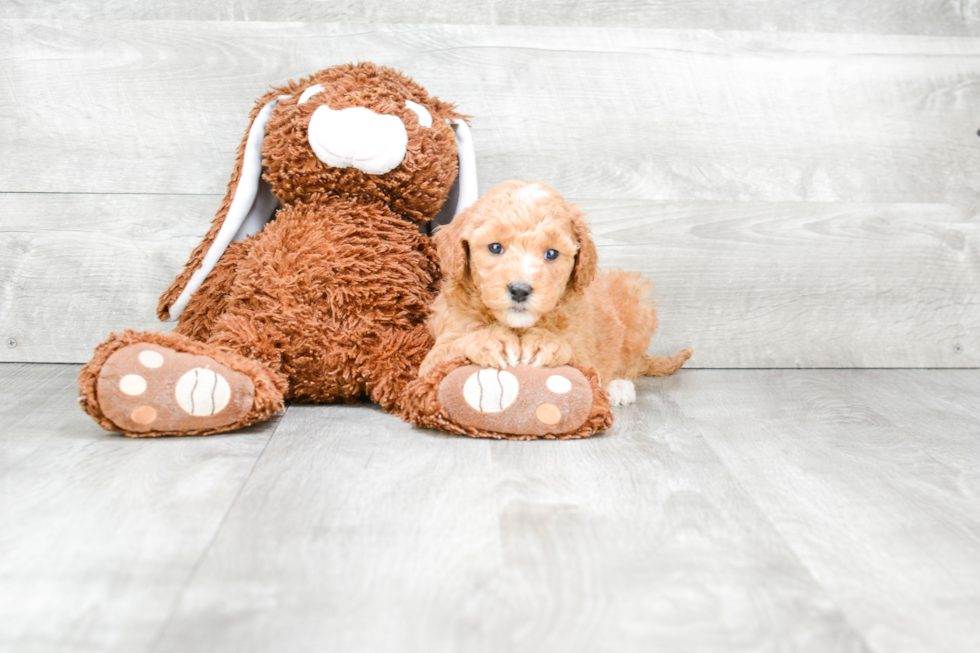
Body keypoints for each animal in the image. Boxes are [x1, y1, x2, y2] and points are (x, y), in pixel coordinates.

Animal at [420, 178, 688, 402]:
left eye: (551, 253)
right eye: (495, 248)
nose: (520, 290)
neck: (518, 327)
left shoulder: (583, 348)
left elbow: (582, 362)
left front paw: (545, 343)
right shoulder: (434, 357)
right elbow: (450, 349)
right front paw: (491, 340)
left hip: (637, 305)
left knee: (629, 363)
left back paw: (619, 386)